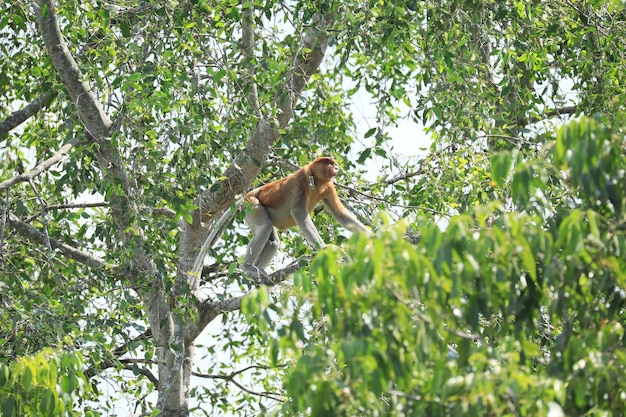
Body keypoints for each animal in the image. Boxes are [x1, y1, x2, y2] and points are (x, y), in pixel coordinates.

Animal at [189, 156, 366, 282]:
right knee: (265, 227)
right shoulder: (302, 181)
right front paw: (324, 247)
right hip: (253, 206)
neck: (316, 179)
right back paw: (248, 268)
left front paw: (369, 235)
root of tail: (247, 195)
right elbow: (299, 213)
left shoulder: (328, 187)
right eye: (328, 163)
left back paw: (259, 270)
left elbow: (340, 214)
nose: (335, 168)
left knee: (273, 241)